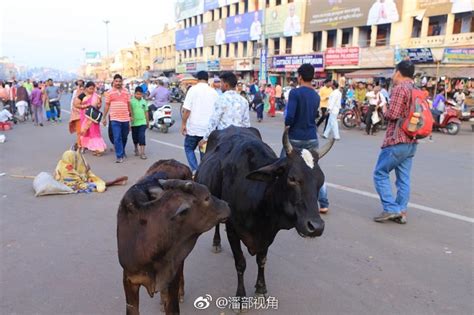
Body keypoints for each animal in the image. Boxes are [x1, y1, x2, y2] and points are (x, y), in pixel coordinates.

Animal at [194, 127, 336, 302]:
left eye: (321, 180)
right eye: (292, 178)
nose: (316, 227)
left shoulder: (269, 233)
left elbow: (261, 260)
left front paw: (261, 289)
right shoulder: (233, 229)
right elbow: (240, 263)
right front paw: (240, 296)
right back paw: (216, 243)